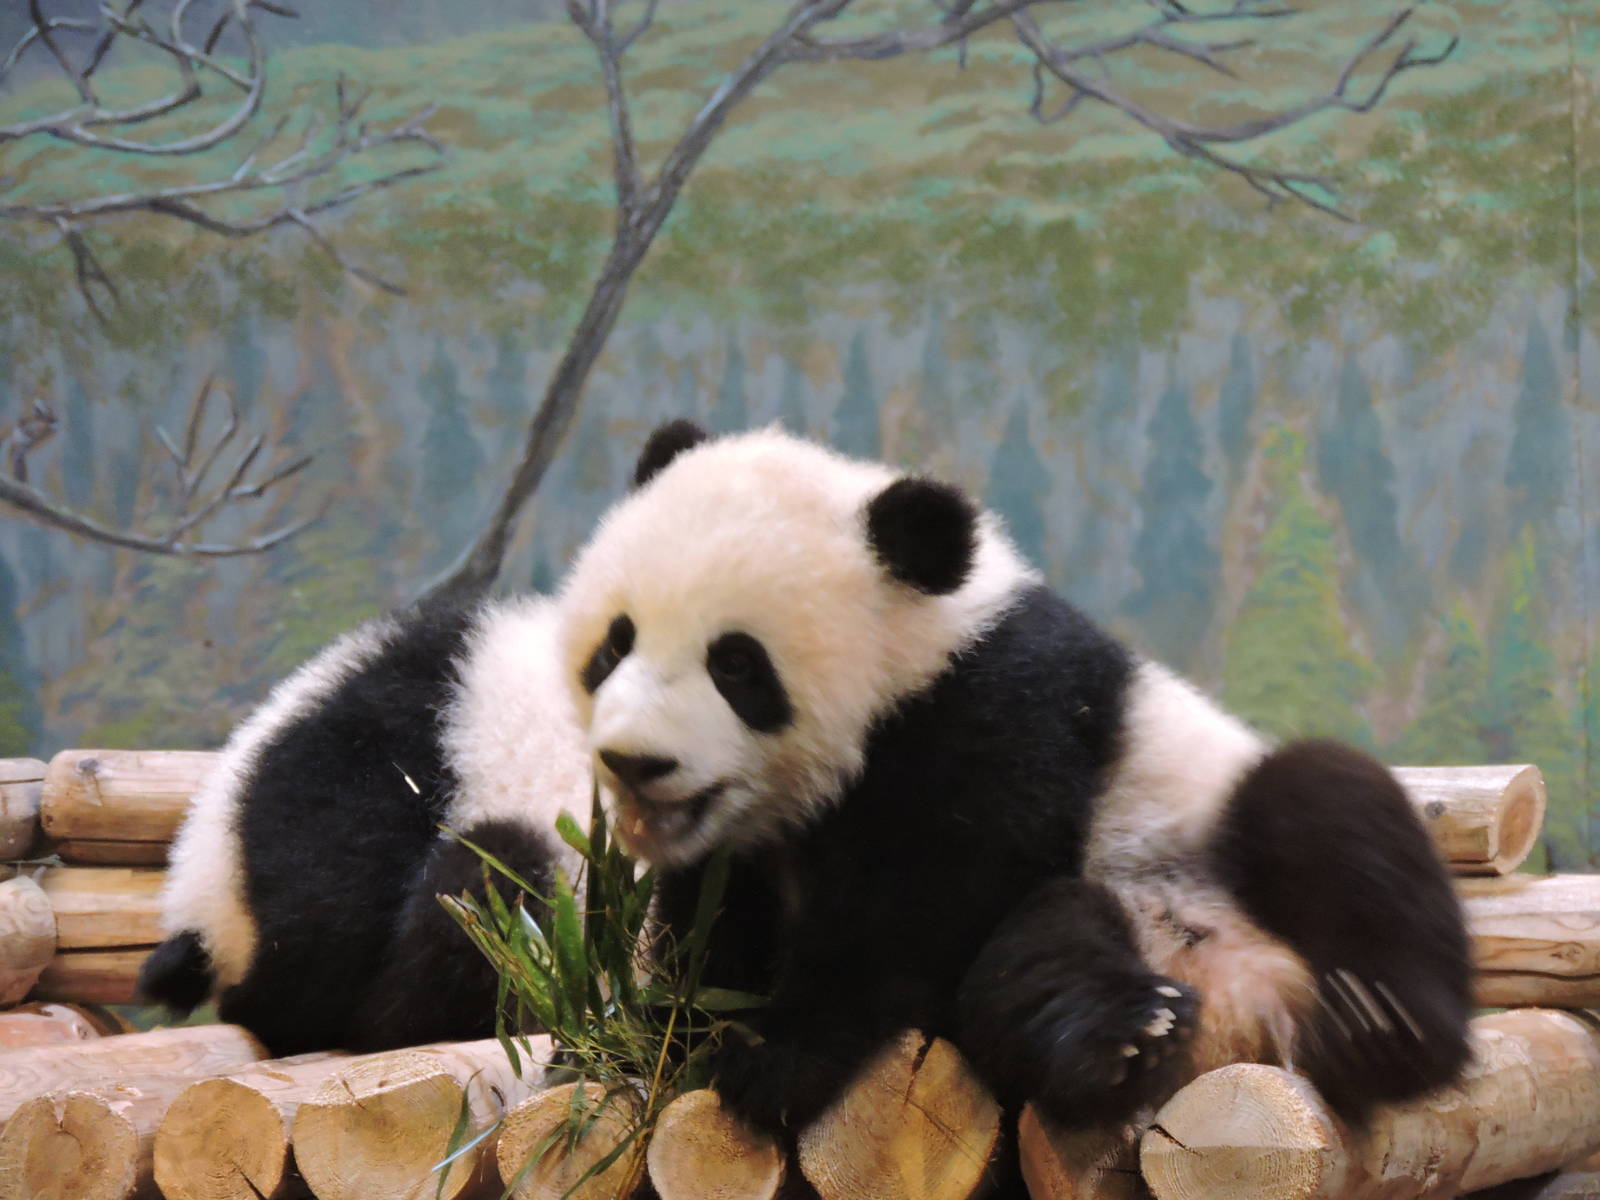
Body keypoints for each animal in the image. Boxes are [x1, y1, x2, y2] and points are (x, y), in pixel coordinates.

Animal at [558, 420, 1473, 1138]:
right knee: (1035, 964)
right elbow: (714, 930)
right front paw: (668, 1034)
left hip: (1214, 825)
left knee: (1323, 805)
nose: (636, 760)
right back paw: (1124, 1038)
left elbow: (920, 905)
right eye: (616, 643)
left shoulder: (995, 713)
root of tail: (1246, 1027)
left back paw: (1377, 1025)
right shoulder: (740, 852)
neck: (910, 664)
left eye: (738, 666)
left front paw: (777, 1059)